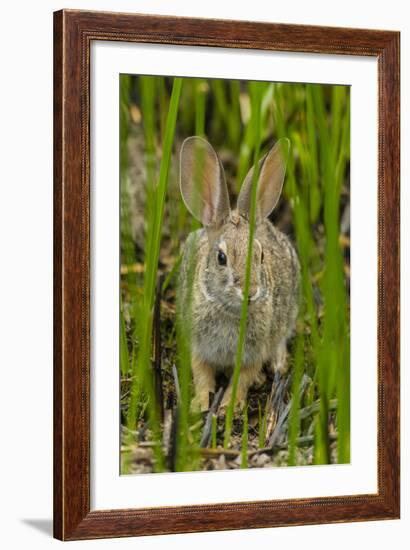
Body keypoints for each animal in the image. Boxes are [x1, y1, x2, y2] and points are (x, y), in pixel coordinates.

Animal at [178, 137, 300, 414]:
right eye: (221, 258)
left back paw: (278, 364)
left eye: (261, 255)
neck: (228, 308)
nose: (251, 292)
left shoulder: (254, 351)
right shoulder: (199, 347)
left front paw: (228, 407)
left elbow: (242, 378)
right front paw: (200, 404)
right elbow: (202, 375)